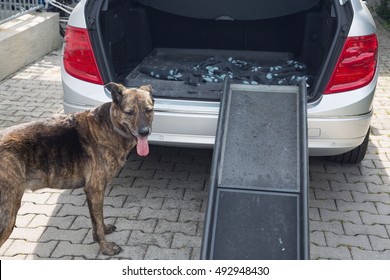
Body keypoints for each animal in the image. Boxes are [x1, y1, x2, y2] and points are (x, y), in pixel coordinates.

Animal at [0, 82, 155, 255]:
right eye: (129, 112)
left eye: (149, 110)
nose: (144, 132)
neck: (110, 125)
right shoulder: (95, 190)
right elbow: (98, 221)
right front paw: (106, 248)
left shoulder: (93, 192)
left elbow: (97, 221)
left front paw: (102, 233)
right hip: (7, 215)